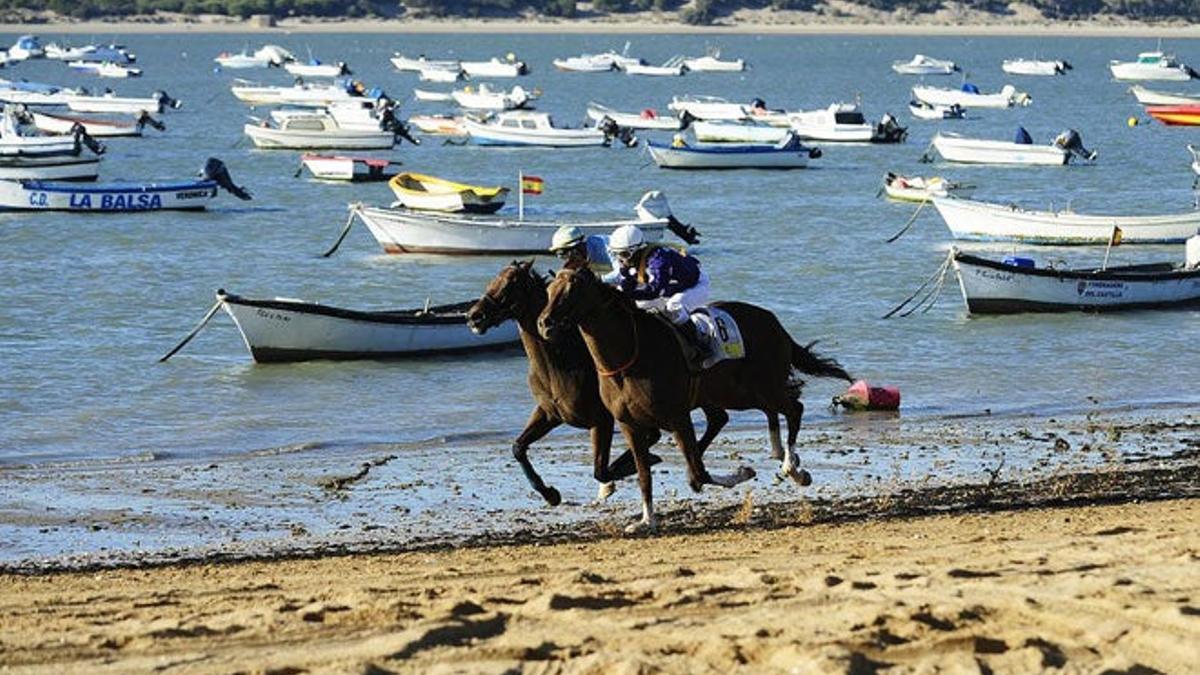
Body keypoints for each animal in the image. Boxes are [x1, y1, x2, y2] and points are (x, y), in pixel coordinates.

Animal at [463, 263, 662, 504]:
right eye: (493, 280)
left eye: (510, 283)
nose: (474, 316)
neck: (560, 362)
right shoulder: (550, 413)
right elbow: (518, 447)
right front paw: (550, 494)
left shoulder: (601, 420)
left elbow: (601, 470)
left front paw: (631, 469)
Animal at [540, 265, 849, 528]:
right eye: (549, 291)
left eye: (571, 292)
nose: (545, 324)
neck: (628, 358)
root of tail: (775, 324)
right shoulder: (629, 424)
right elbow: (644, 476)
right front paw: (646, 520)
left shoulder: (677, 415)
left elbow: (699, 470)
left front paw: (742, 472)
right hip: (733, 393)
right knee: (733, 417)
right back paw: (783, 456)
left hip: (760, 387)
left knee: (794, 408)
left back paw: (792, 468)